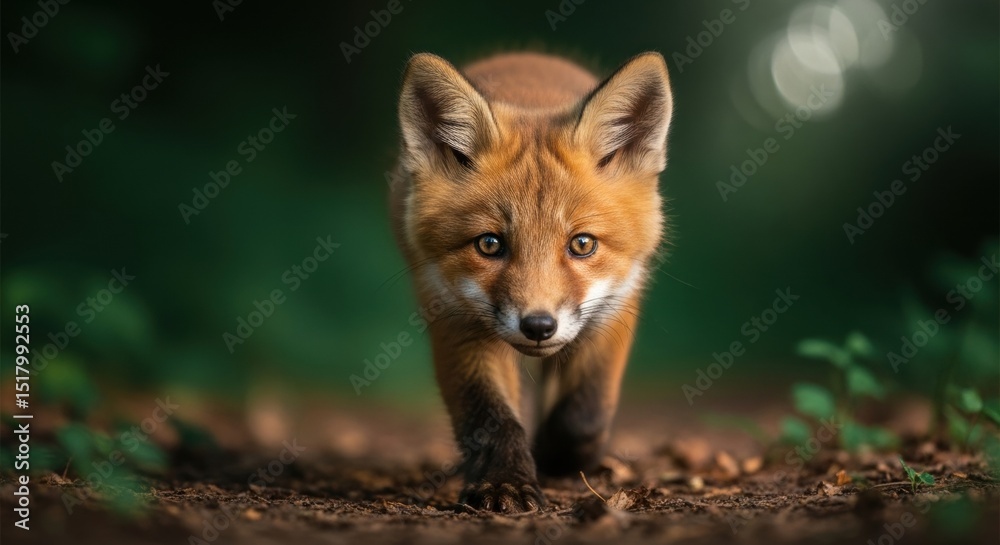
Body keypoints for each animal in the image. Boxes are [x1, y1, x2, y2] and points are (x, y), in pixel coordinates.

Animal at [390, 50, 673, 513]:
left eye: (582, 244)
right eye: (489, 244)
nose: (538, 326)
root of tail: (526, 55)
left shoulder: (616, 304)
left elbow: (584, 414)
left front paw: (556, 461)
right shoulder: (453, 316)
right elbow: (489, 417)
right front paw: (503, 483)